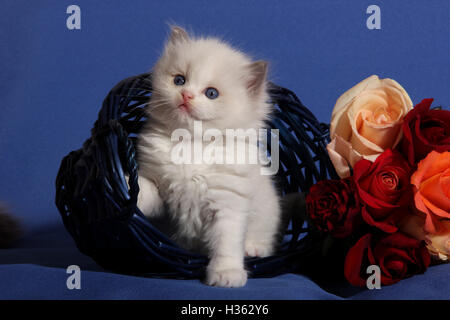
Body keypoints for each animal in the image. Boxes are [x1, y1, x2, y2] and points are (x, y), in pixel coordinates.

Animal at [135, 26, 280, 288]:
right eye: (179, 80)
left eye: (211, 93)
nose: (186, 95)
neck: (190, 143)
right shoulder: (158, 185)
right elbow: (147, 188)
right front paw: (129, 189)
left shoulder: (228, 203)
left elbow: (226, 243)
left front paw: (226, 274)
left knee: (263, 239)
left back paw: (253, 249)